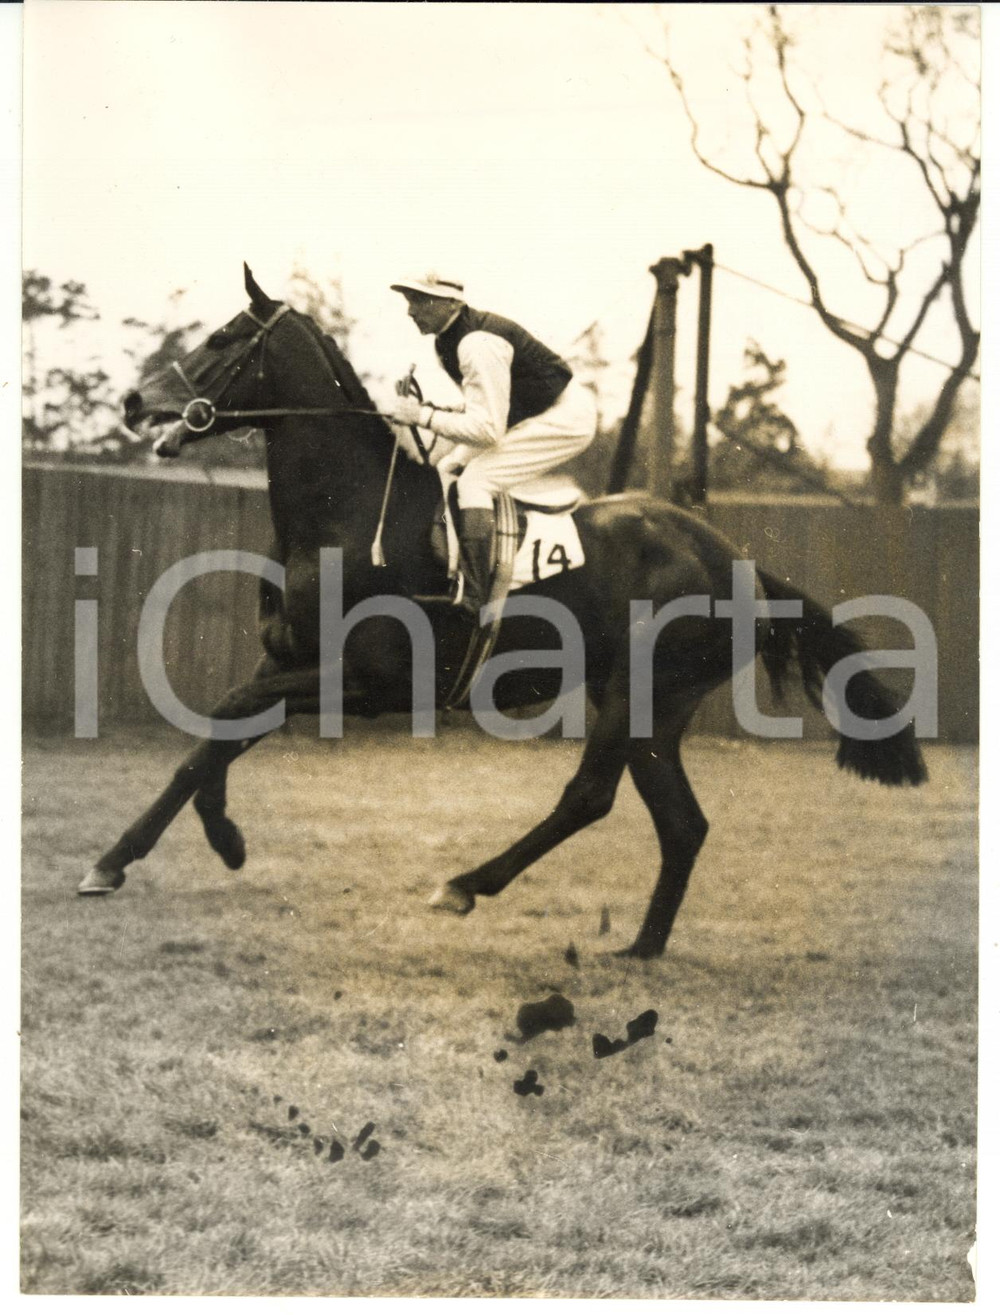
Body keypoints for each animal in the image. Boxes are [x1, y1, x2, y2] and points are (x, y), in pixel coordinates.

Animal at [79, 265, 927, 958]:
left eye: (223, 337)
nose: (135, 399)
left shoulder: (369, 681)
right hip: (655, 705)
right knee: (682, 822)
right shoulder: (290, 659)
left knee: (590, 795)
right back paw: (642, 947)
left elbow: (227, 716)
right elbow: (216, 736)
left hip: (641, 690)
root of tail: (738, 561)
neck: (343, 514)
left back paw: (464, 884)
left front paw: (184, 844)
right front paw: (167, 848)